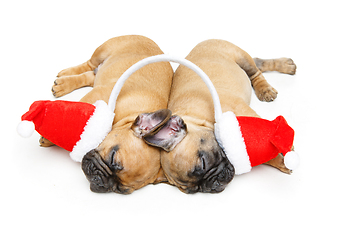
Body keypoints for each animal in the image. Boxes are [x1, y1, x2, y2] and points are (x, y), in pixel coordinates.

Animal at [40, 35, 173, 193]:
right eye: (112, 157)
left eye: (120, 189)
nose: (99, 181)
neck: (127, 117)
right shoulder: (98, 95)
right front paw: (51, 136)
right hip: (102, 51)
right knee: (88, 65)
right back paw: (64, 77)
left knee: (90, 76)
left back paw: (63, 84)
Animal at [143, 39, 296, 193]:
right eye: (195, 190)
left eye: (203, 163)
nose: (213, 185)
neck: (200, 119)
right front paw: (280, 160)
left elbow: (266, 140)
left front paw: (285, 151)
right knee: (257, 62)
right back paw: (287, 65)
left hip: (240, 56)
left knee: (255, 72)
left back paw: (266, 88)